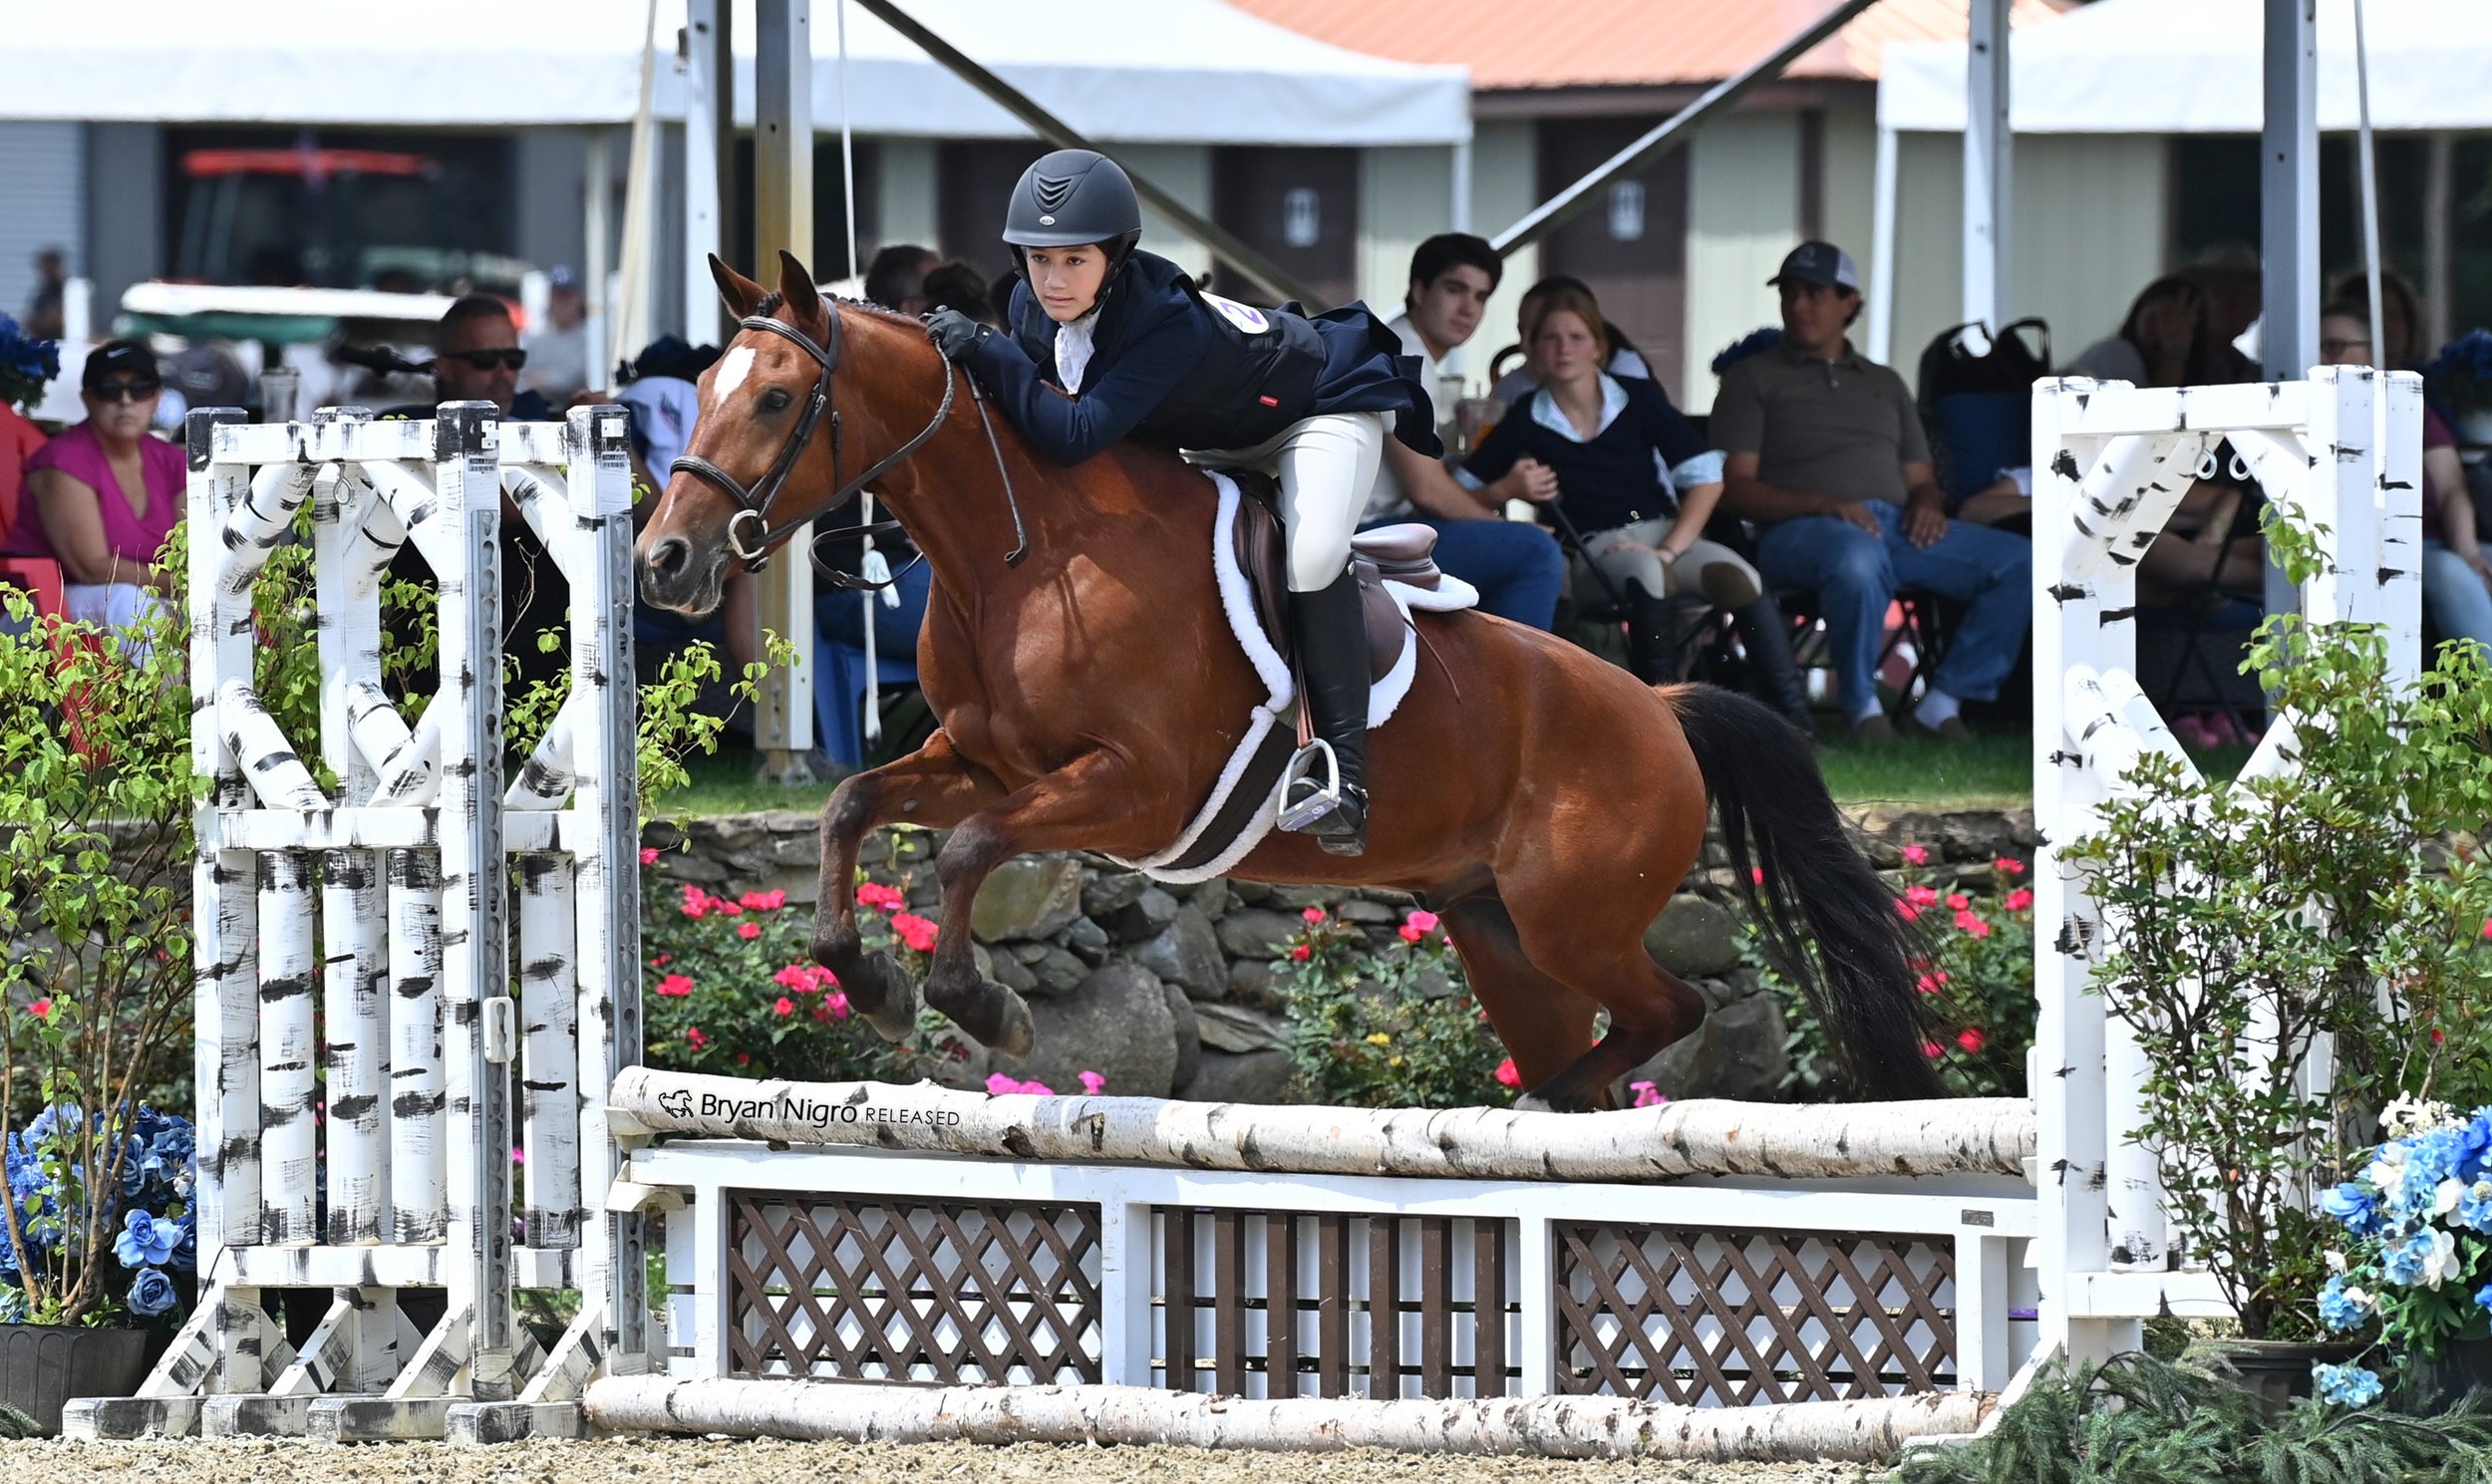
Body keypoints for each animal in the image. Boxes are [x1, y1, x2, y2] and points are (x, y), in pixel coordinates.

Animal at [635, 253, 1944, 1111]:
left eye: (776, 397)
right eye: (697, 393)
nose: (663, 561)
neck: (1016, 551)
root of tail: (1659, 706)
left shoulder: (1133, 792)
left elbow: (963, 853)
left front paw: (978, 1002)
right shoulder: (984, 762)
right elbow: (852, 804)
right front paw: (871, 983)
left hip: (1573, 917)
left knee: (1671, 1012)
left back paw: (1521, 1107)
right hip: (1498, 935)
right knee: (1601, 1039)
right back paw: (1542, 1105)